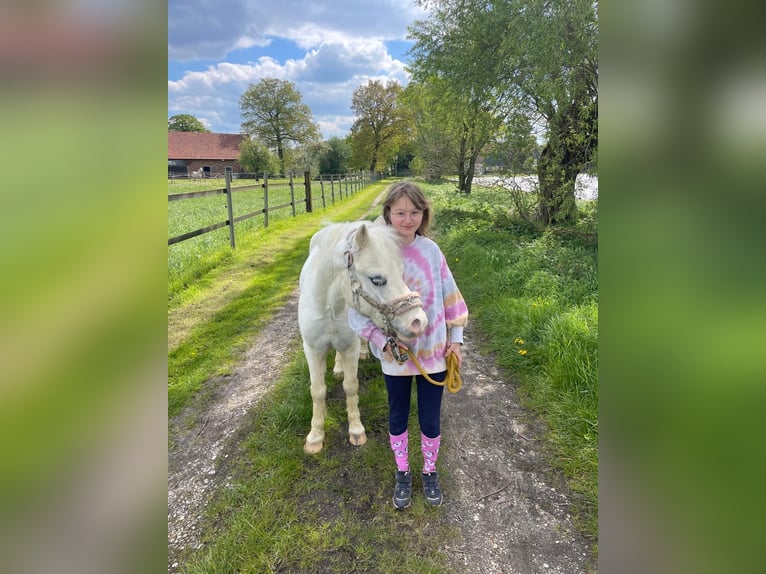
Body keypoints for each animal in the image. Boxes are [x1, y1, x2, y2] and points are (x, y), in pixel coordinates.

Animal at [300, 220, 428, 454]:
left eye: (401, 273)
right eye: (376, 280)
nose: (418, 321)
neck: (330, 305)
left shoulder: (349, 347)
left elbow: (351, 386)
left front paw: (356, 430)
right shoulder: (312, 350)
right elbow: (317, 391)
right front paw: (315, 436)